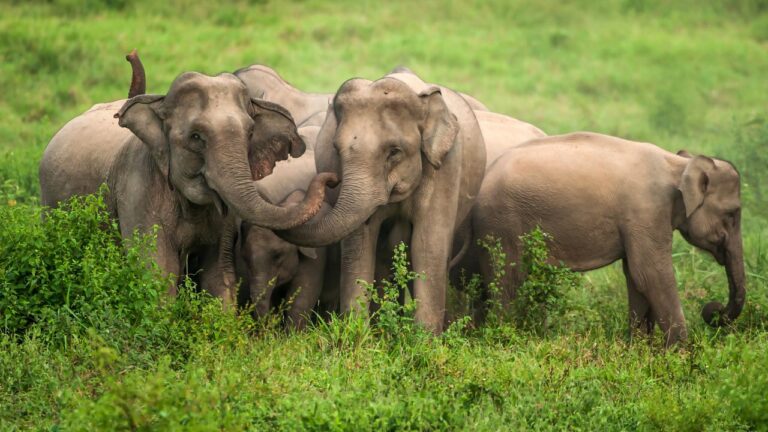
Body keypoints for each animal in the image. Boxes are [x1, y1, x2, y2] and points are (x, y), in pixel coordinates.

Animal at [39, 71, 337, 305]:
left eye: (250, 133)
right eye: (196, 137)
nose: (331, 178)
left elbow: (218, 274)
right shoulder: (137, 189)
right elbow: (157, 269)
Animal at [278, 71, 488, 334]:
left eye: (394, 151)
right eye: (336, 148)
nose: (331, 180)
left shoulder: (446, 168)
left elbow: (427, 245)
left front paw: (423, 339)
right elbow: (361, 243)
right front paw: (358, 335)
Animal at [470, 132, 746, 346]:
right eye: (732, 214)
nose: (712, 310)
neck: (678, 165)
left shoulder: (639, 223)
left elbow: (635, 276)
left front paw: (640, 350)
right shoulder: (646, 212)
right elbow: (650, 274)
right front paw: (680, 354)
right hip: (502, 224)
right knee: (509, 280)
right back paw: (504, 339)